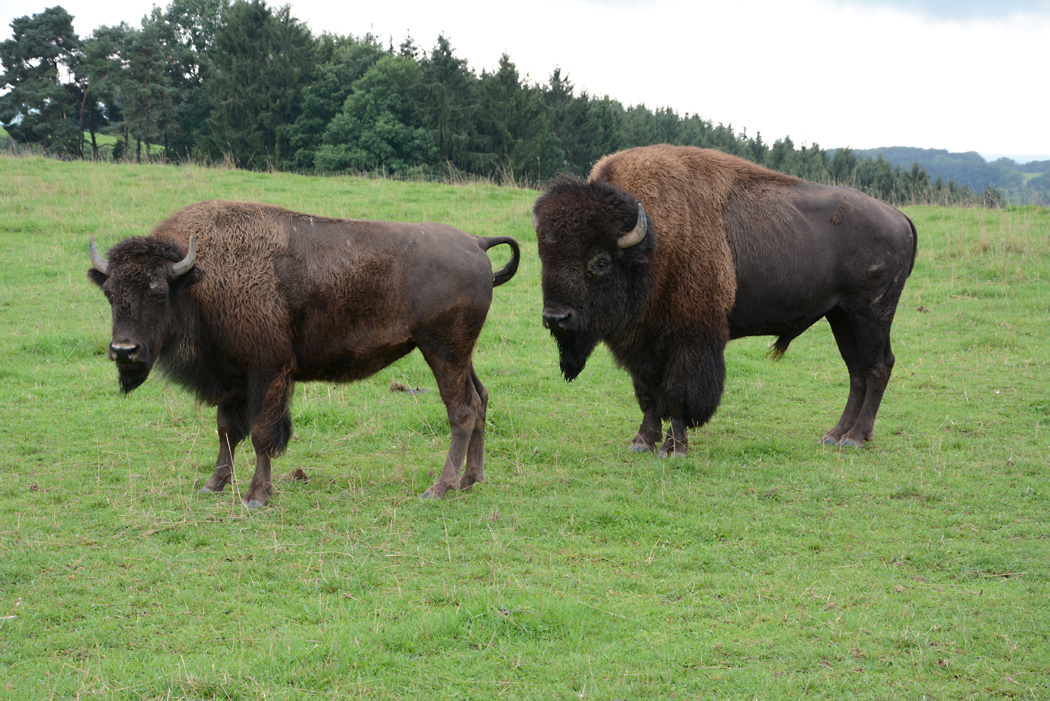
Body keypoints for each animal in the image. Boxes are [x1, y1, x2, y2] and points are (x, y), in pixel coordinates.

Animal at [90, 199, 520, 505]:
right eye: (109, 293)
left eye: (157, 292)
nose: (123, 351)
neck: (199, 277)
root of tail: (476, 242)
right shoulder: (233, 377)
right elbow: (227, 431)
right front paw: (213, 485)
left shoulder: (268, 373)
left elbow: (262, 434)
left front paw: (256, 497)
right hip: (462, 355)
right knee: (480, 398)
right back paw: (471, 480)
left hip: (442, 351)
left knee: (461, 410)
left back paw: (439, 488)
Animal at [537, 144, 915, 457]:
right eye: (545, 256)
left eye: (600, 261)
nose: (556, 318)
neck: (655, 242)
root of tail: (900, 217)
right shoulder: (641, 346)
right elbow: (648, 396)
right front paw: (642, 442)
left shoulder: (690, 340)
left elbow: (677, 396)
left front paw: (674, 449)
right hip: (841, 316)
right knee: (856, 370)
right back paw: (835, 435)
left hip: (871, 312)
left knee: (878, 366)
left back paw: (855, 438)